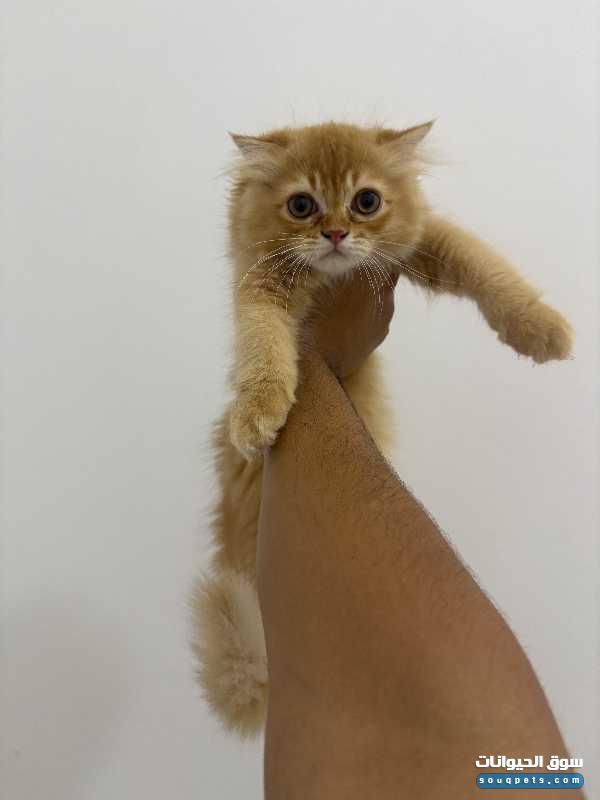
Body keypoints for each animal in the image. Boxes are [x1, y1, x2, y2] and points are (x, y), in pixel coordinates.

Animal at [190, 121, 572, 737]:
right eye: (302, 206)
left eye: (366, 202)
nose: (336, 233)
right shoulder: (258, 289)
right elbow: (262, 348)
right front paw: (258, 412)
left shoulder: (427, 242)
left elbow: (488, 268)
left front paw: (540, 329)